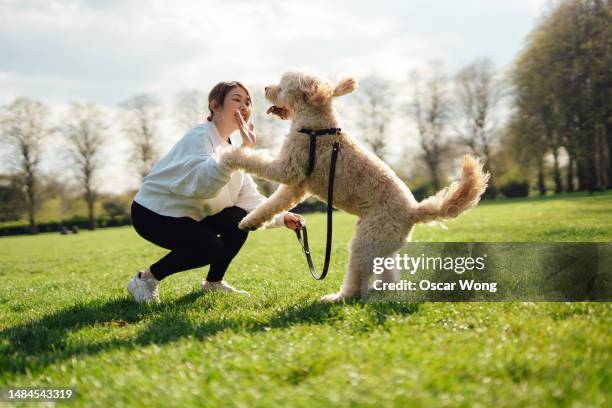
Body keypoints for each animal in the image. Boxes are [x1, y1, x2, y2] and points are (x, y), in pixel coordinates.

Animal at [222, 69, 490, 302]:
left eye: (282, 84)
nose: (266, 88)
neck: (316, 127)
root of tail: (414, 210)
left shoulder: (288, 168)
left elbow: (256, 160)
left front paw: (228, 156)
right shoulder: (296, 186)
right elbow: (272, 205)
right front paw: (250, 222)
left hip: (365, 242)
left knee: (356, 282)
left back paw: (338, 298)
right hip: (380, 243)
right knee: (387, 273)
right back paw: (381, 290)